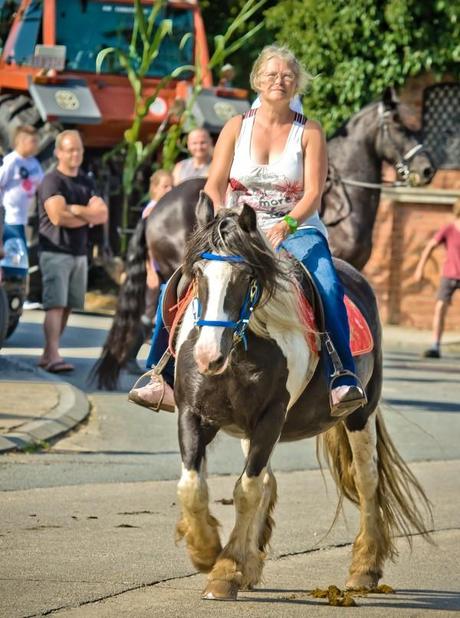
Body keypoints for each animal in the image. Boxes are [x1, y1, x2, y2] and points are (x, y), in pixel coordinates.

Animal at [172, 200, 432, 600]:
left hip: (361, 414)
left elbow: (246, 490)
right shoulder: (193, 412)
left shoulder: (271, 418)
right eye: (198, 272)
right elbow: (192, 485)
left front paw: (224, 571)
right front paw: (205, 552)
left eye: (246, 276)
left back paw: (364, 568)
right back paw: (250, 565)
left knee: (366, 479)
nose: (207, 357)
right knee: (268, 481)